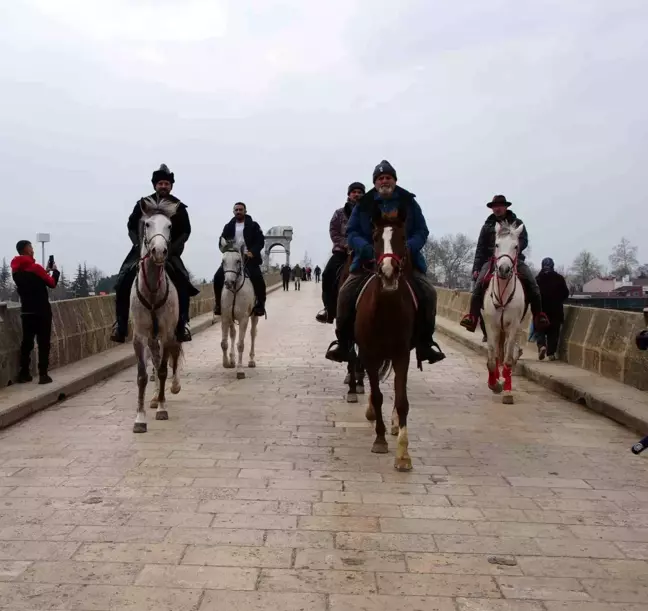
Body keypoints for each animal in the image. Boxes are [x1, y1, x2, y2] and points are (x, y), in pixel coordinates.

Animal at [218, 238, 258, 378]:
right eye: (223, 261)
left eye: (238, 261)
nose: (228, 282)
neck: (235, 289)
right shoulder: (225, 317)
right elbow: (224, 342)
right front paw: (227, 363)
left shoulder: (243, 318)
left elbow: (240, 344)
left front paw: (240, 370)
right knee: (233, 334)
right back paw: (232, 359)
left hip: (254, 316)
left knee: (252, 334)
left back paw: (251, 360)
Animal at [480, 222, 528, 404]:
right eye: (496, 244)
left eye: (516, 246)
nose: (504, 269)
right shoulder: (490, 325)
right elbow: (492, 358)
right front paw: (494, 385)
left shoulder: (513, 326)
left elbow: (507, 359)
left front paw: (507, 391)